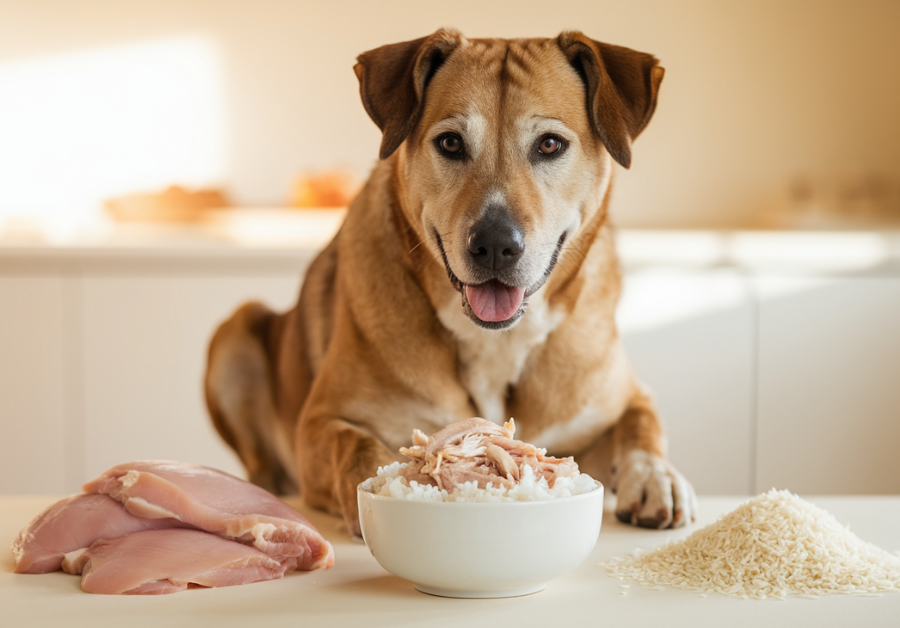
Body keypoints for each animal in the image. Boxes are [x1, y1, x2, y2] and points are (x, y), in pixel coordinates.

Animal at [207, 29, 700, 536]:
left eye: (549, 144)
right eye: (450, 142)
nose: (496, 244)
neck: (496, 340)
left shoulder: (623, 399)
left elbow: (642, 424)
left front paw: (656, 477)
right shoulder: (320, 423)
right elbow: (356, 446)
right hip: (235, 332)